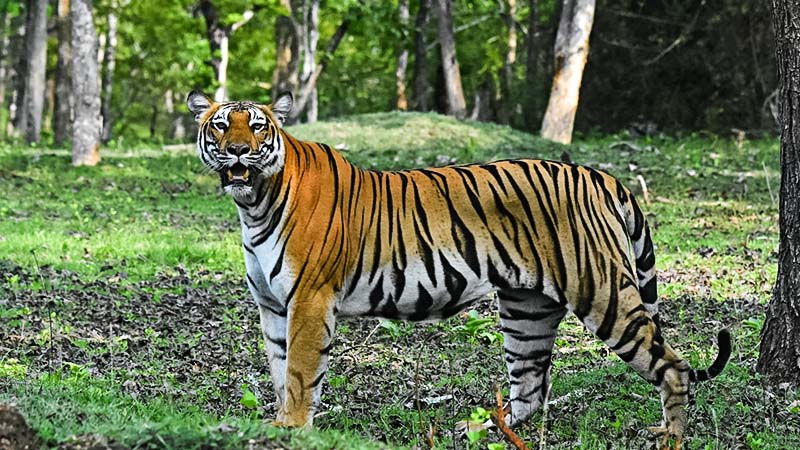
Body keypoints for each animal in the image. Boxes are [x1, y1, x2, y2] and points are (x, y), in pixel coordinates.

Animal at [186, 89, 732, 448]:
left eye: (257, 126)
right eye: (221, 125)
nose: (238, 151)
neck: (254, 204)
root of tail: (598, 175)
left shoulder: (308, 299)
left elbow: (300, 372)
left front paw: (293, 429)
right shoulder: (273, 305)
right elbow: (280, 371)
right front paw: (278, 423)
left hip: (604, 294)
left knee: (673, 365)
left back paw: (670, 436)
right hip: (527, 311)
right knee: (530, 389)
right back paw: (475, 429)